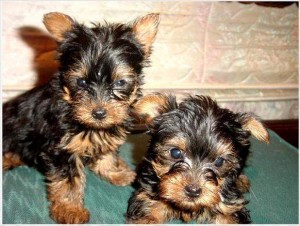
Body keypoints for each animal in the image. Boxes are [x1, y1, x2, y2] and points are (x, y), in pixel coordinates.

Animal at [2, 11, 159, 223]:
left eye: (120, 82)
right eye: (81, 82)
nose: (99, 113)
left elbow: (106, 153)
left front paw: (115, 171)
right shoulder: (62, 148)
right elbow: (69, 180)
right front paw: (70, 209)